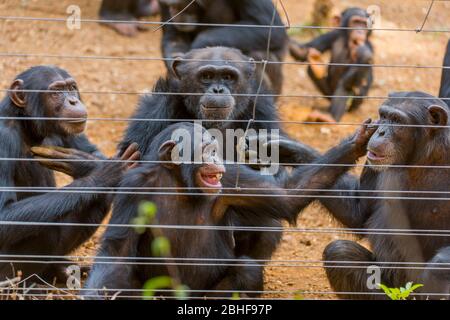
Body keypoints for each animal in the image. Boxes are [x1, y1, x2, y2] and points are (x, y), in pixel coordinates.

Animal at [0, 66, 140, 282]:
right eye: (57, 91)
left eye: (71, 87)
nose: (73, 101)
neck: (27, 123)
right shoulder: (3, 137)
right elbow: (5, 213)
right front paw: (100, 173)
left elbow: (95, 152)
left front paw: (82, 162)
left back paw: (61, 269)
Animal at [84, 120, 376, 298]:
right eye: (206, 150)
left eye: (215, 149)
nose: (215, 158)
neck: (179, 182)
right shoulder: (133, 187)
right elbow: (118, 249)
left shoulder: (232, 177)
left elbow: (287, 197)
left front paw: (357, 141)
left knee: (247, 269)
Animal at [158, 0, 288, 95]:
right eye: (168, 5)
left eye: (178, 4)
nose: (173, 10)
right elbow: (174, 37)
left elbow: (268, 25)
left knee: (256, 56)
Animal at [318, 92, 450, 300]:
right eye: (384, 116)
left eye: (397, 120)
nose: (380, 132)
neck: (422, 157)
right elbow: (358, 213)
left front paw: (438, 267)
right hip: (396, 290)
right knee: (340, 253)